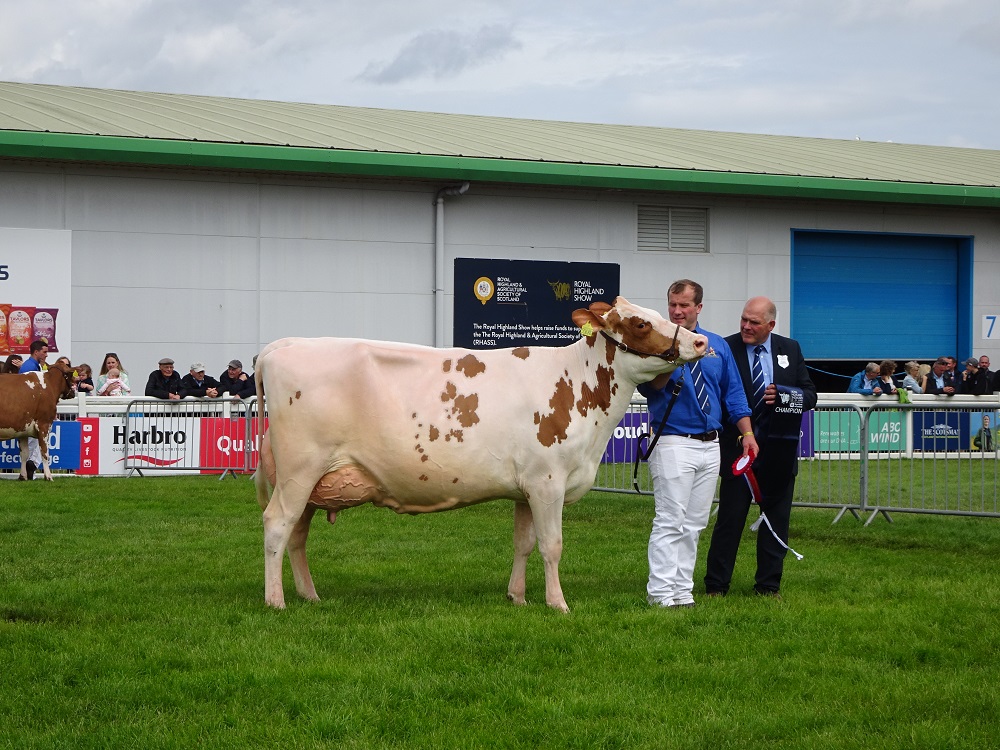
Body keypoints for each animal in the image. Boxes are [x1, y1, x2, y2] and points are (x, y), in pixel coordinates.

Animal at [254, 296, 708, 612]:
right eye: (640, 322)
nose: (700, 340)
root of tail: (281, 346)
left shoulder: (527, 487)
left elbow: (524, 543)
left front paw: (518, 597)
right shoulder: (548, 481)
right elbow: (552, 545)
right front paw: (558, 603)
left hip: (314, 481)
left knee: (297, 535)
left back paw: (309, 596)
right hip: (299, 469)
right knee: (278, 525)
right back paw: (275, 601)